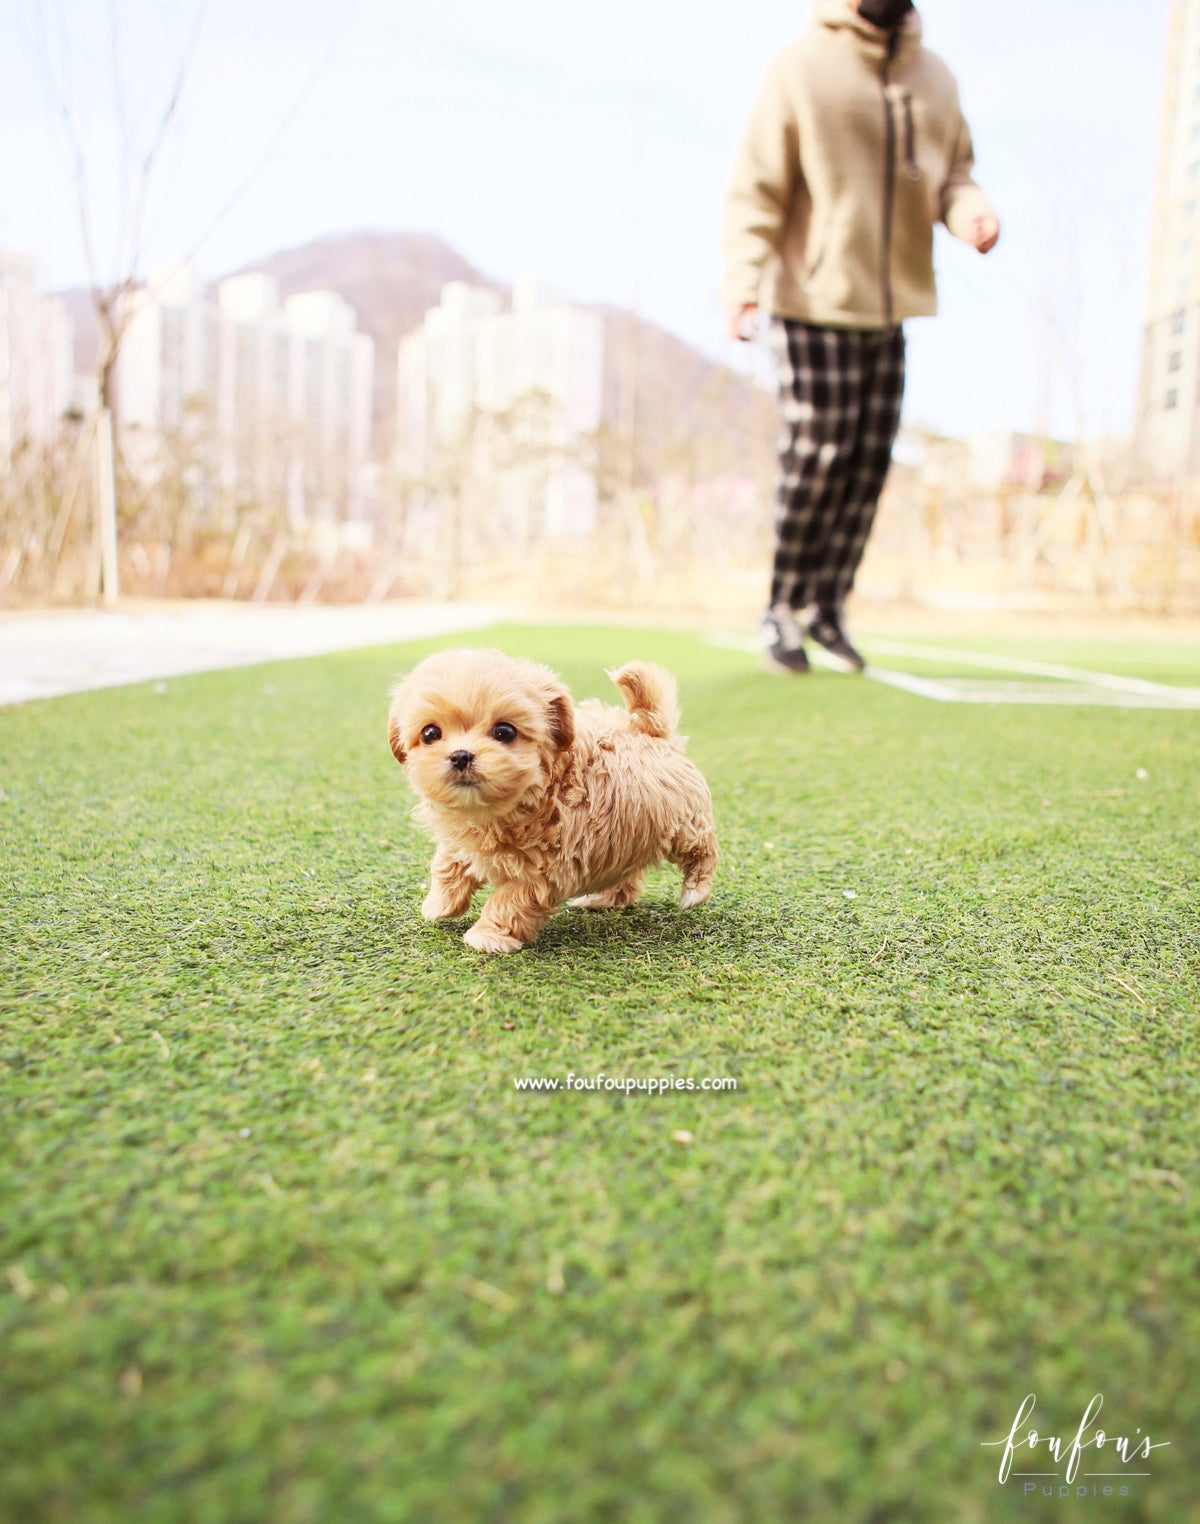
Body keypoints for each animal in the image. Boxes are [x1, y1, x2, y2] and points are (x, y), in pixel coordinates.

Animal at [388, 646, 716, 950]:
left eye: (504, 731)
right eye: (430, 734)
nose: (460, 756)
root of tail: (652, 733)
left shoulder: (546, 871)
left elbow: (510, 899)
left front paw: (488, 935)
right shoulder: (462, 839)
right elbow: (447, 864)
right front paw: (438, 904)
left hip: (685, 823)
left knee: (703, 850)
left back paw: (694, 891)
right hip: (629, 833)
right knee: (628, 874)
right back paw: (603, 898)